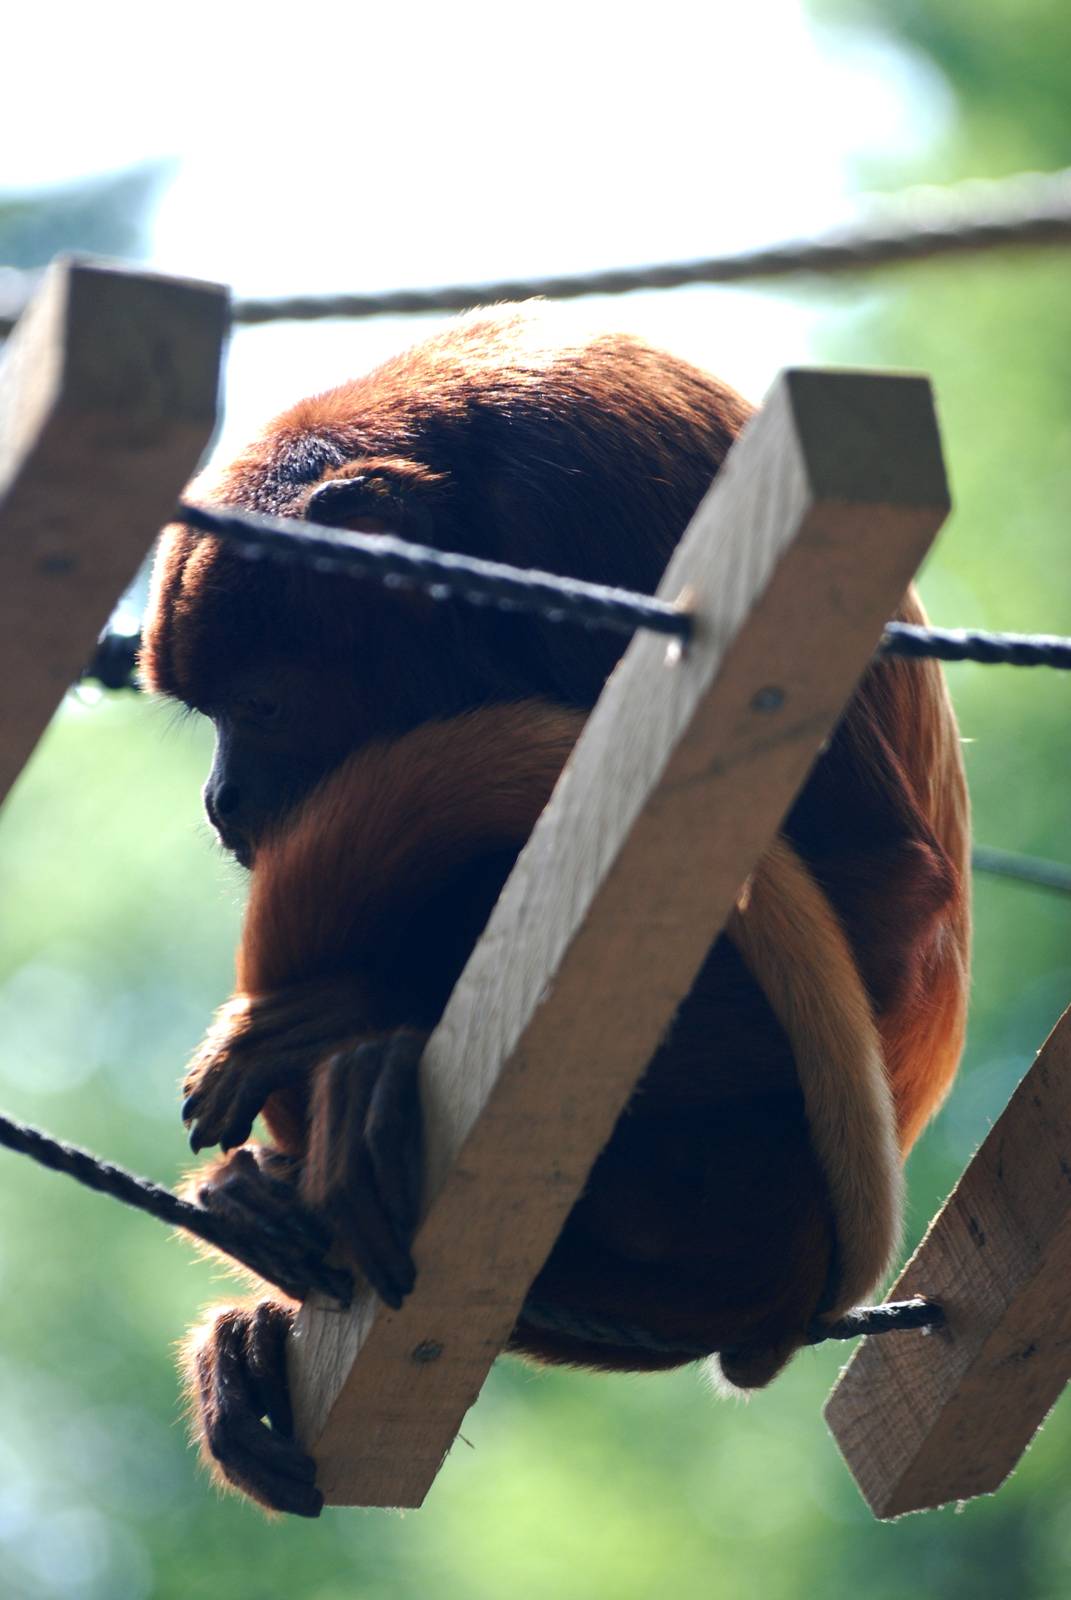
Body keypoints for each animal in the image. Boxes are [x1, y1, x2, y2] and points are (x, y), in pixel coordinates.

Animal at [142, 305, 970, 1516]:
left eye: (262, 704)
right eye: (208, 716)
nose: (220, 799)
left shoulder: (595, 511)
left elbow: (886, 888)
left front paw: (369, 1031)